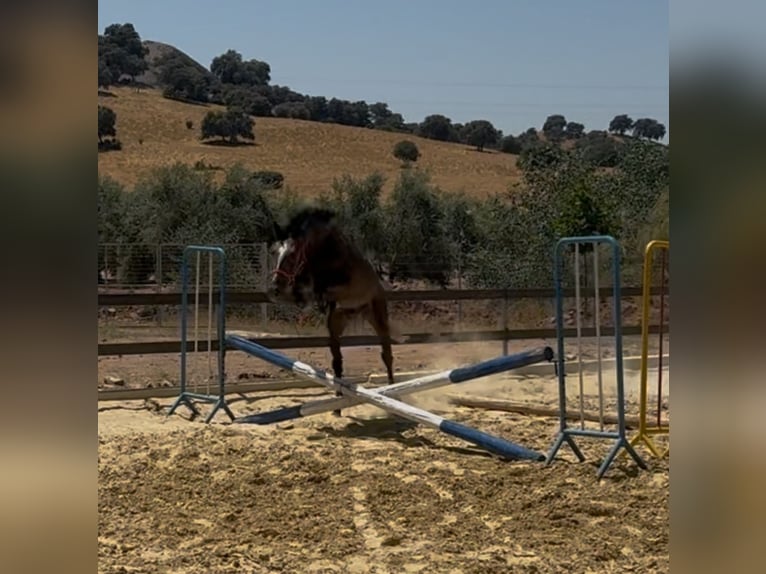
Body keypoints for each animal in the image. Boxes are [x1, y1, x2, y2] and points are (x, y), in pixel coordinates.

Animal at [267, 207, 398, 415]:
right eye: (273, 252)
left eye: (293, 255)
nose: (274, 290)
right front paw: (299, 297)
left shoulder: (346, 286)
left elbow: (320, 289)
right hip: (336, 322)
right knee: (337, 361)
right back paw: (337, 403)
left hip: (377, 316)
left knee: (387, 355)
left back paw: (392, 393)